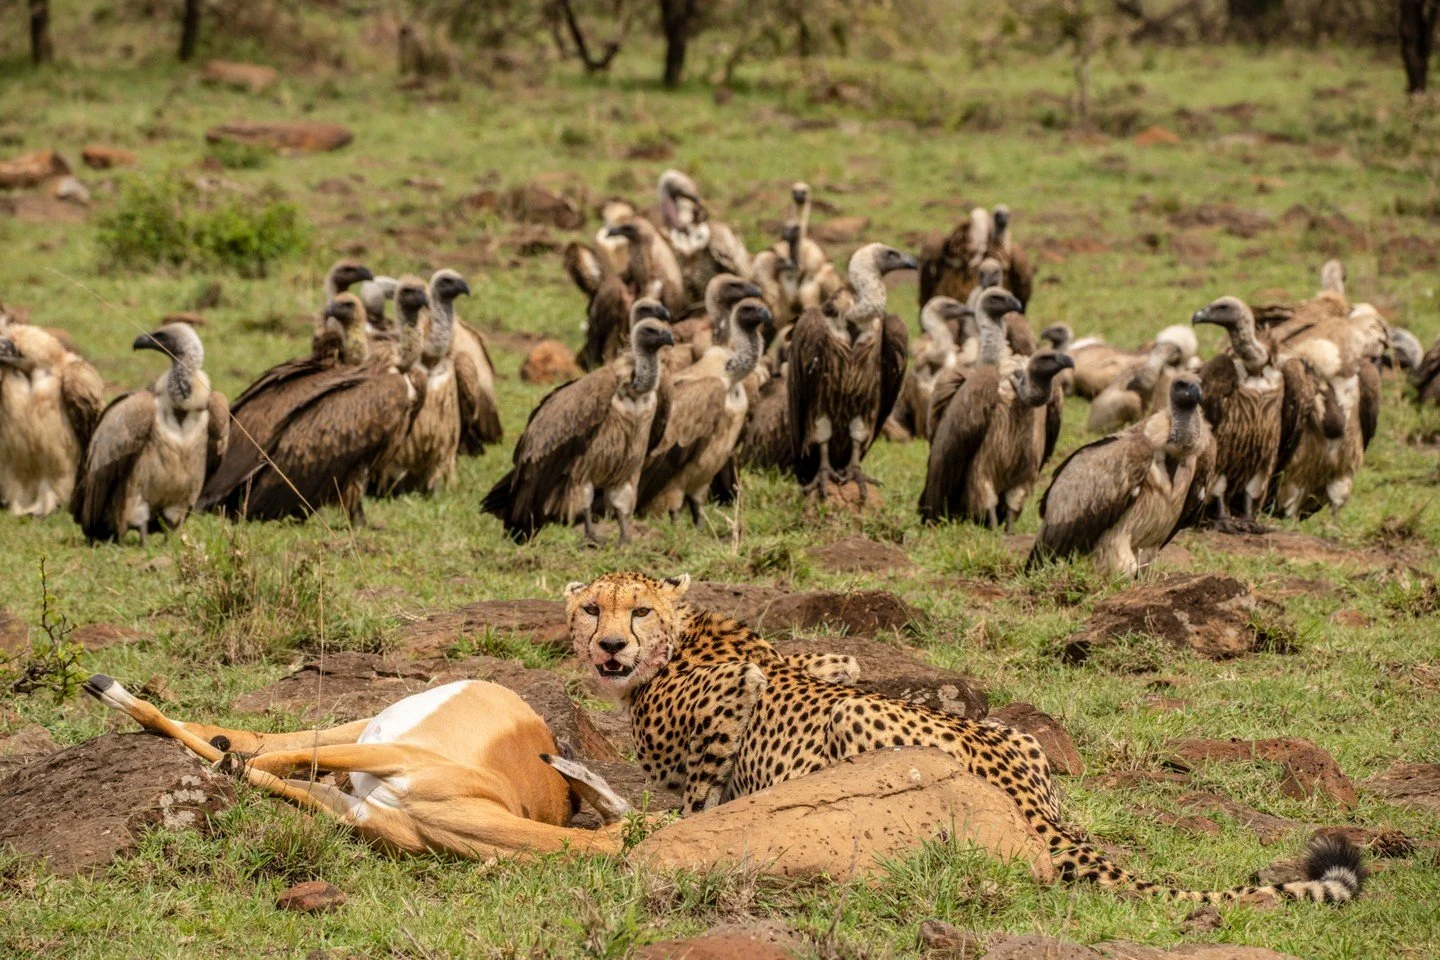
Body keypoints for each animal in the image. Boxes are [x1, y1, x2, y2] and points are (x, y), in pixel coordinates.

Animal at [566, 570, 1365, 906]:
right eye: (591, 608)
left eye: (637, 611)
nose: (609, 645)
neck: (682, 637)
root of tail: (1030, 798)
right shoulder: (831, 663)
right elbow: (831, 662)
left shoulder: (740, 688)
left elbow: (699, 791)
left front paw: (680, 825)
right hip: (1015, 736)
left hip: (859, 729)